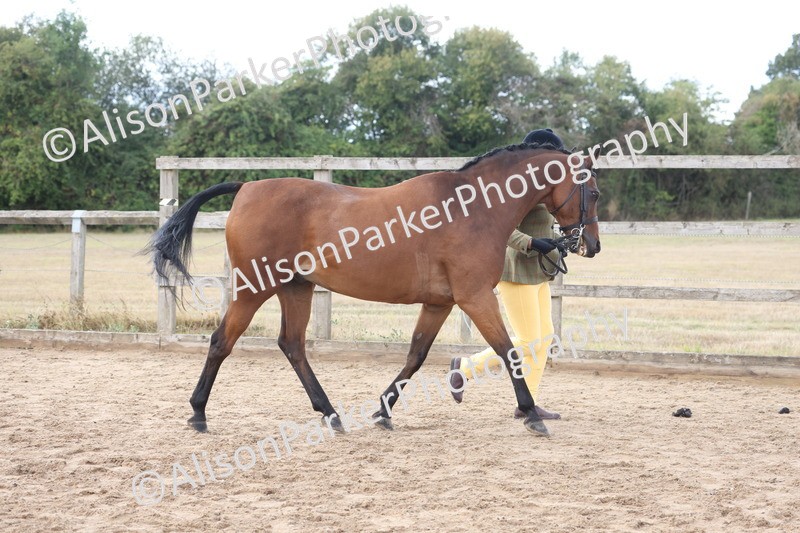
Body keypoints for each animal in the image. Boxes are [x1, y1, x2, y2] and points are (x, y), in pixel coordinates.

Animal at [145, 142, 601, 437]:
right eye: (594, 192)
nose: (591, 245)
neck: (471, 208)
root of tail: (246, 188)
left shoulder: (439, 303)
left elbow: (416, 356)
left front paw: (383, 411)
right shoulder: (475, 297)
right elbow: (508, 352)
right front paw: (531, 413)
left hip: (297, 288)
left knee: (292, 345)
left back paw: (331, 415)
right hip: (254, 288)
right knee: (222, 341)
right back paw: (199, 414)